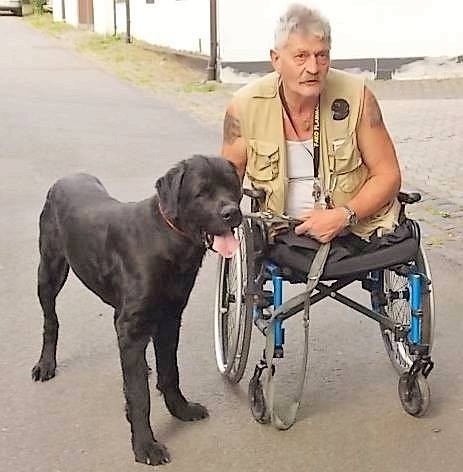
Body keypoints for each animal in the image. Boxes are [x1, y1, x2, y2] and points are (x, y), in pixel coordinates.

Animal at [31, 155, 243, 464]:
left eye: (232, 187)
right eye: (201, 193)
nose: (232, 213)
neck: (168, 240)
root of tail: (65, 178)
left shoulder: (170, 317)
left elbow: (170, 372)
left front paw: (181, 409)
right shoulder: (133, 326)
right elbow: (139, 395)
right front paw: (145, 445)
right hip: (49, 270)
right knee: (51, 320)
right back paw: (46, 364)